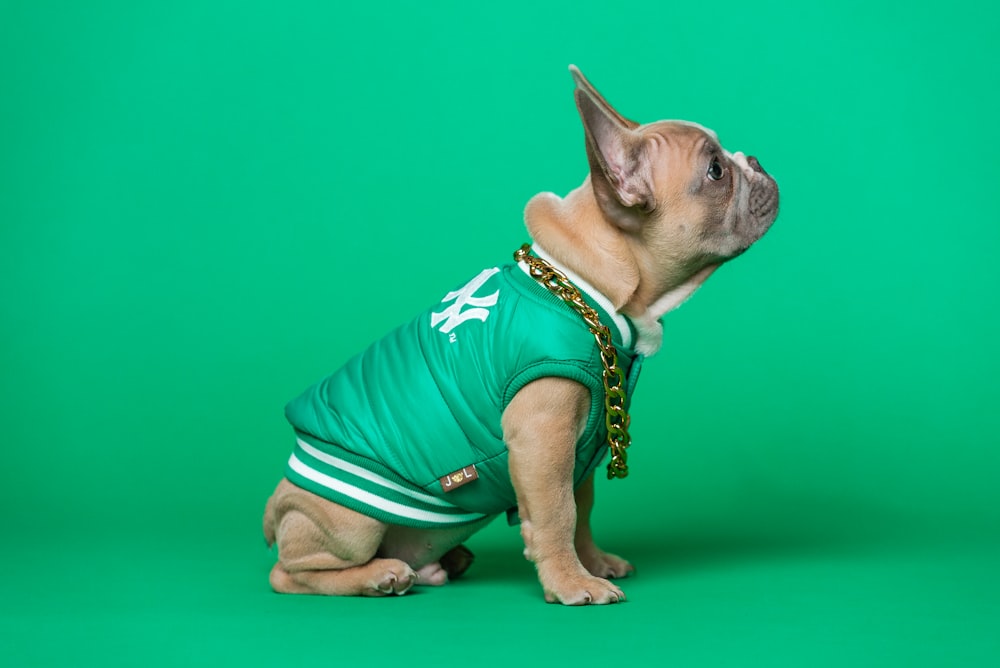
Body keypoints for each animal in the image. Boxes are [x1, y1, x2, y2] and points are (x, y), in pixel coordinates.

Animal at [266, 65, 780, 604]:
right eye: (716, 171)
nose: (754, 159)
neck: (585, 285)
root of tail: (276, 504)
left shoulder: (581, 445)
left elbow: (582, 510)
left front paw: (593, 563)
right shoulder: (543, 437)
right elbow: (558, 515)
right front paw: (572, 583)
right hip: (348, 522)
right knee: (292, 573)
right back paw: (378, 576)